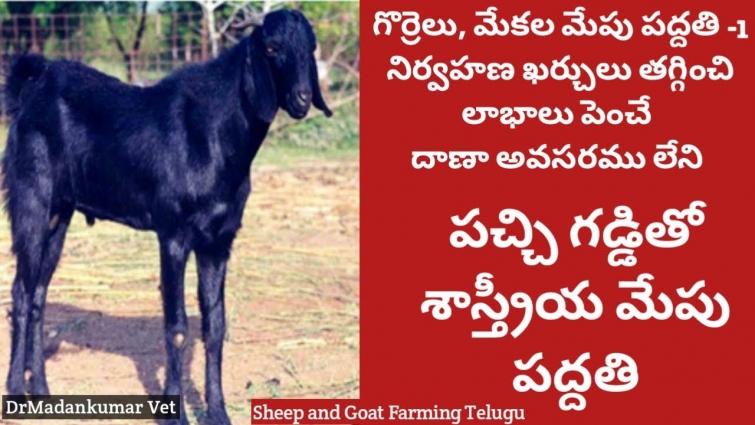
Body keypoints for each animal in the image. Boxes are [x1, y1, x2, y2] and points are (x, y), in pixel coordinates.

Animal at [2, 9, 331, 425]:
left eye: (311, 47)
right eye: (271, 47)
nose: (302, 98)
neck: (214, 135)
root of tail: (30, 93)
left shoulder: (218, 242)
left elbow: (215, 326)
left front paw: (218, 412)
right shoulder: (173, 234)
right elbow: (177, 326)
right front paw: (176, 415)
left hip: (59, 215)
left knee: (38, 294)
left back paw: (43, 392)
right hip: (31, 201)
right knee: (21, 292)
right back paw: (17, 392)